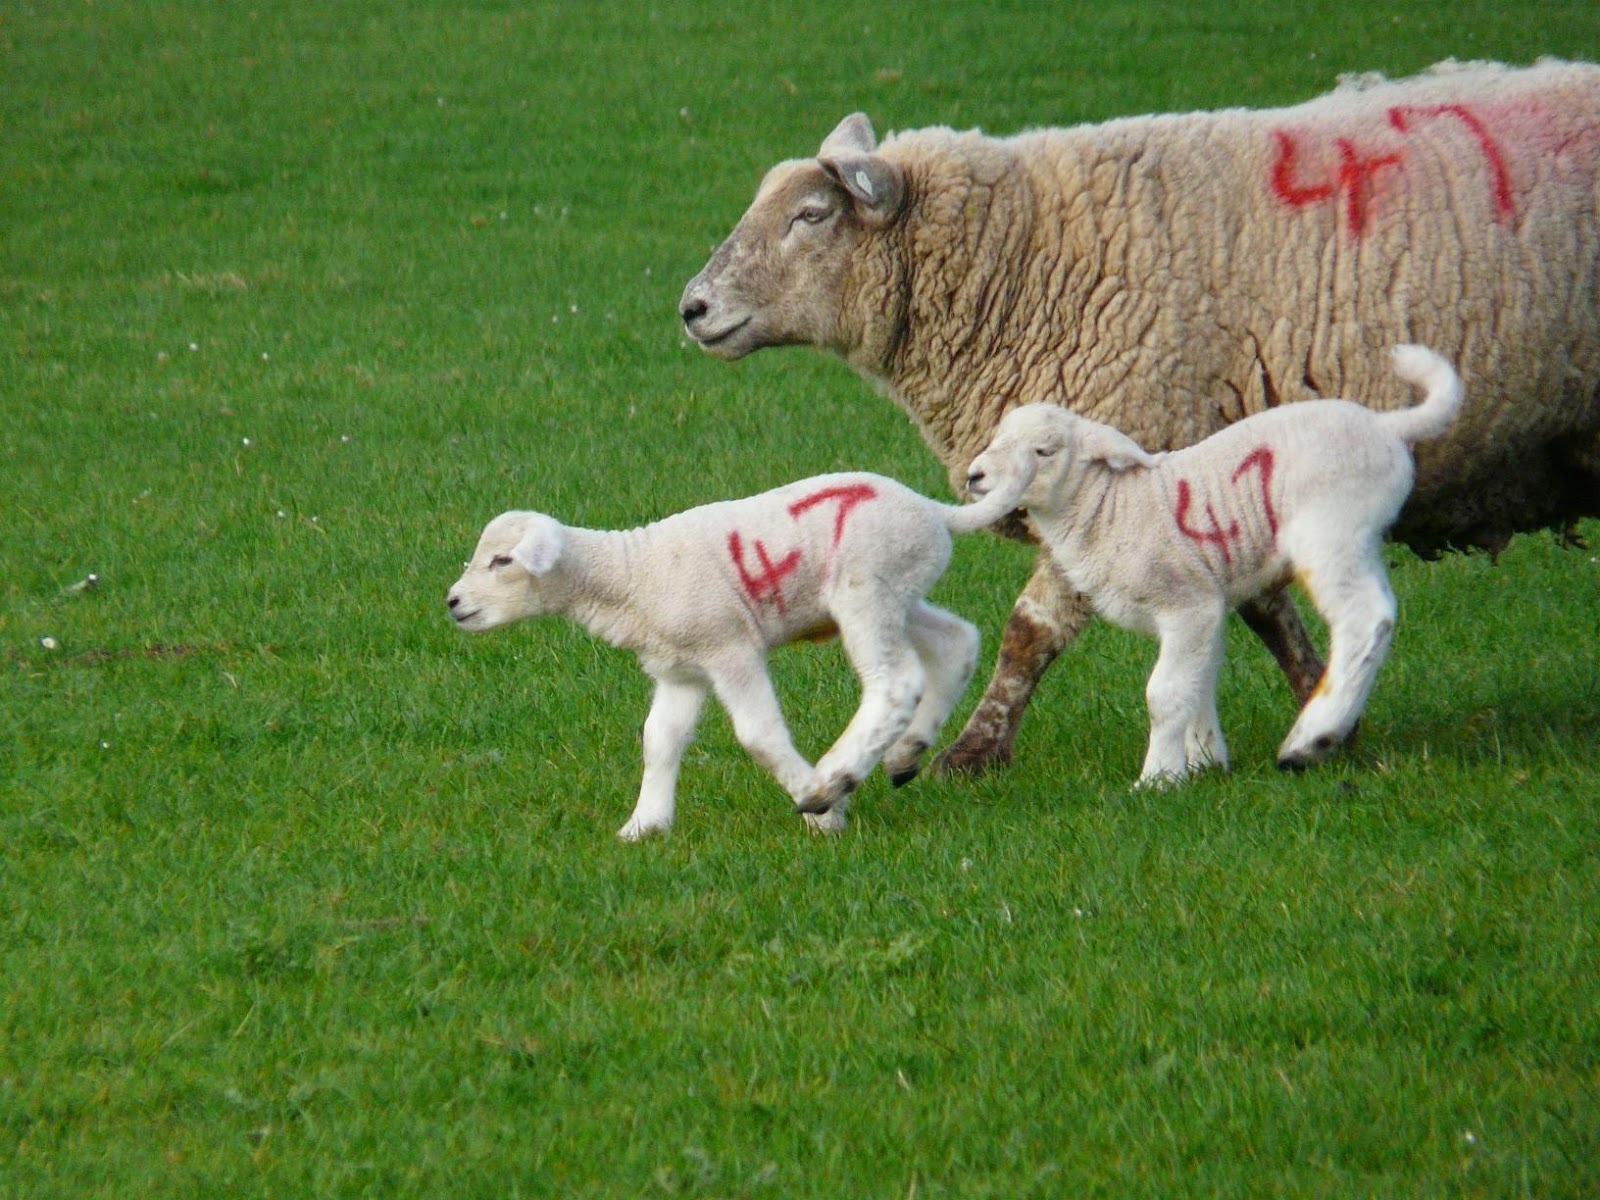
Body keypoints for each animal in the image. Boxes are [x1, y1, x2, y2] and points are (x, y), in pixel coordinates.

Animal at [445, 468, 1029, 839]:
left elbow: (758, 735)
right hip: (897, 592)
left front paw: (824, 817)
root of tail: (933, 510)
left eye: (502, 560)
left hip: (867, 586)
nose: (452, 602)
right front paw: (644, 825)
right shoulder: (680, 668)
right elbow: (659, 740)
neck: (629, 574)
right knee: (956, 641)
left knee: (895, 681)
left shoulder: (728, 646)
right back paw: (906, 753)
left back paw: (831, 781)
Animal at [963, 344, 1463, 784]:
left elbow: (1164, 694)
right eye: (997, 438)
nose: (974, 476)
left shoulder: (1186, 603)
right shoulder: (1203, 610)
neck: (1109, 506)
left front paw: (1159, 778)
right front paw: (1205, 763)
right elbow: (1197, 681)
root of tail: (1386, 425)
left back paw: (1312, 739)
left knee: (1367, 618)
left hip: (1331, 528)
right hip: (1357, 537)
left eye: (1044, 451)